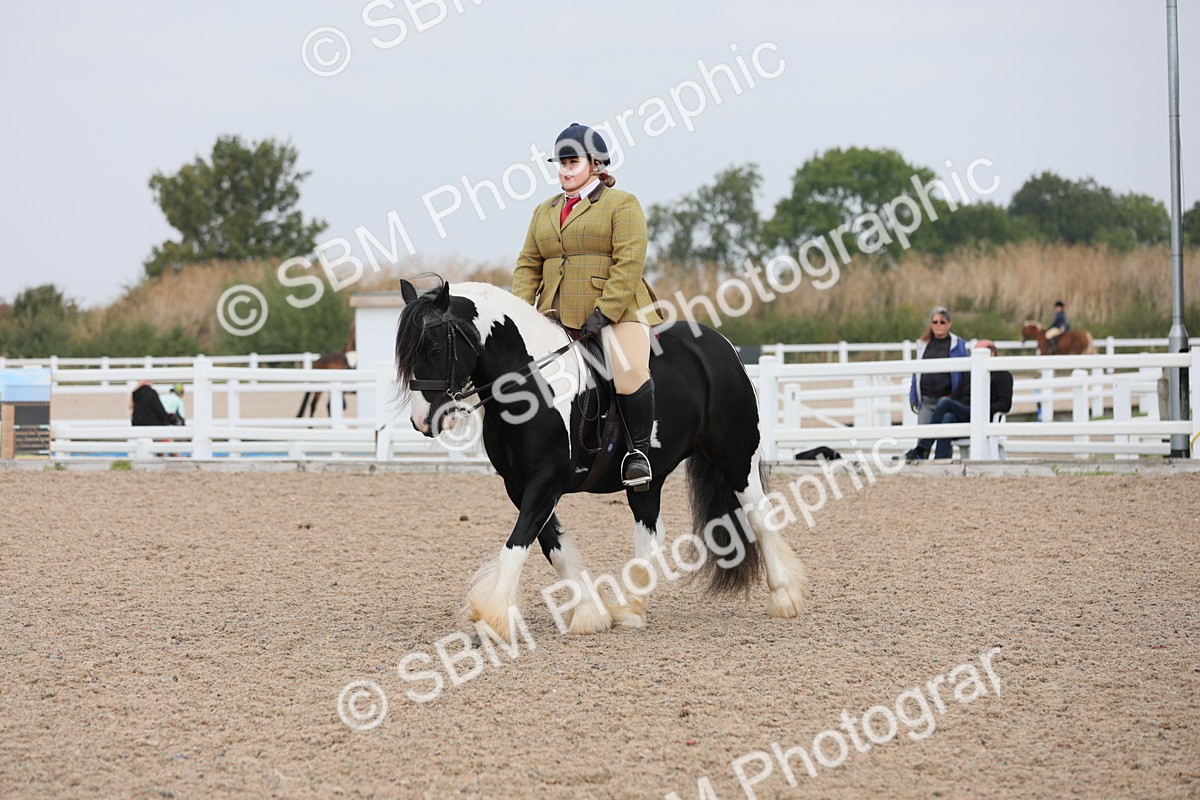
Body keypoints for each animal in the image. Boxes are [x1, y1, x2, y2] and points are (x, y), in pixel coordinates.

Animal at [394, 278, 806, 639]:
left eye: (434, 349)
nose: (422, 421)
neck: (531, 385)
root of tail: (722, 345)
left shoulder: (546, 481)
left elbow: (516, 546)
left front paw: (491, 618)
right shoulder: (519, 485)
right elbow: (553, 547)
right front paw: (590, 613)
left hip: (736, 455)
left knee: (759, 516)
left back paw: (784, 596)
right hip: (648, 475)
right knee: (650, 530)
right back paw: (632, 609)